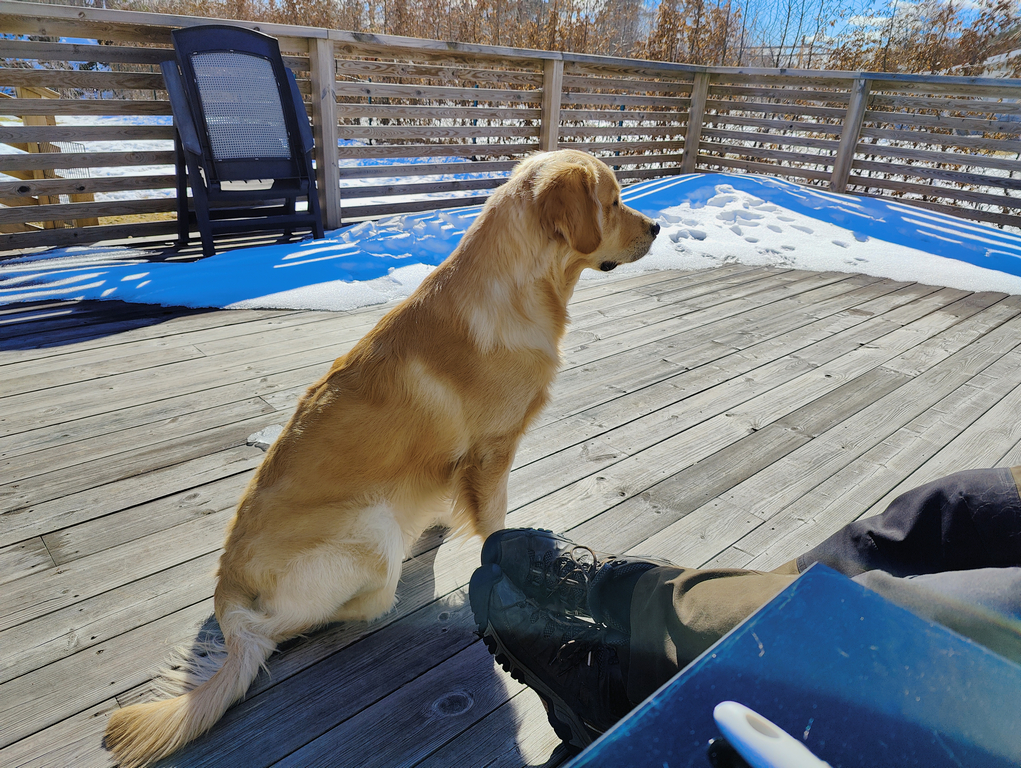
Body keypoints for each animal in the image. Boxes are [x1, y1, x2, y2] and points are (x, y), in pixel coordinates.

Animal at [103, 149, 660, 766]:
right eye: (613, 201)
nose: (658, 227)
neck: (516, 287)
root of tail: (226, 590)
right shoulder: (493, 452)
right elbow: (492, 521)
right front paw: (507, 558)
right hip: (370, 530)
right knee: (299, 623)